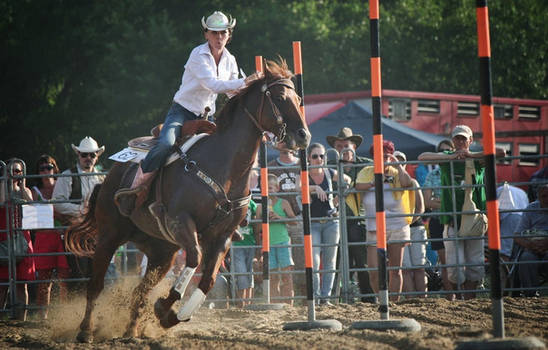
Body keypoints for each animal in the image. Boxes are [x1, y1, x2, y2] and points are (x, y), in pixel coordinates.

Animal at [65, 58, 308, 342]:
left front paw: (171, 315)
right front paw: (165, 308)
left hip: (161, 251)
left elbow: (208, 280)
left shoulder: (223, 236)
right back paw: (85, 331)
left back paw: (132, 331)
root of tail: (108, 177)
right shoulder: (181, 221)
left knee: (139, 291)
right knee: (95, 285)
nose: (303, 136)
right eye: (279, 97)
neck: (222, 166)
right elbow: (194, 259)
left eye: (298, 98)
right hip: (109, 235)